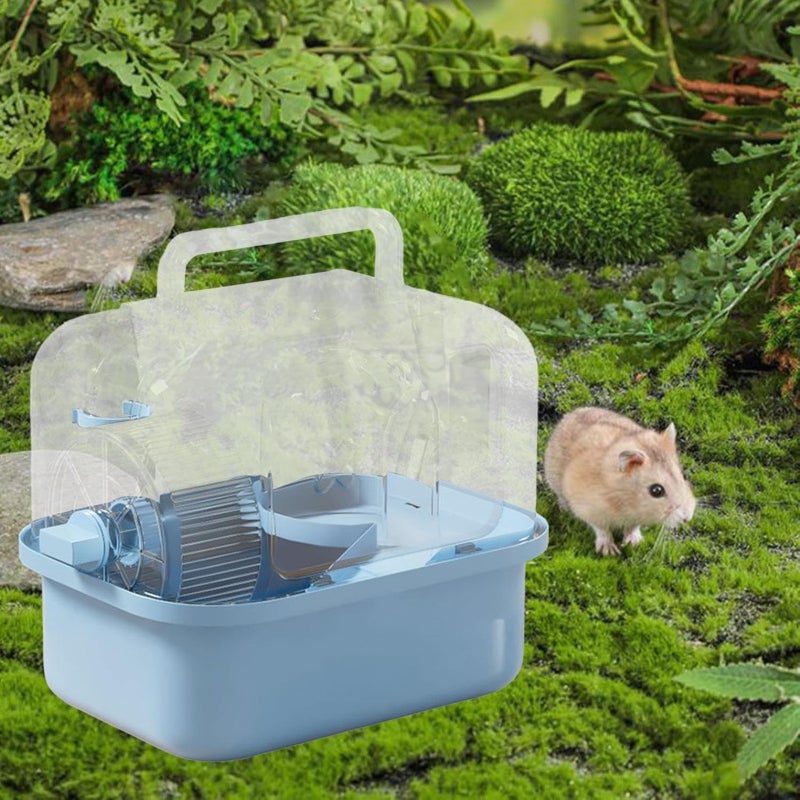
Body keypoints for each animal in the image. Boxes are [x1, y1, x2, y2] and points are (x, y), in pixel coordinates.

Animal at [543, 407, 696, 556]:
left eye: (683, 476)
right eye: (656, 490)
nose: (687, 518)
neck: (627, 501)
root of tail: (571, 414)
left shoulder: (636, 517)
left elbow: (633, 527)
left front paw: (634, 543)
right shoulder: (589, 510)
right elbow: (602, 529)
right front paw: (609, 551)